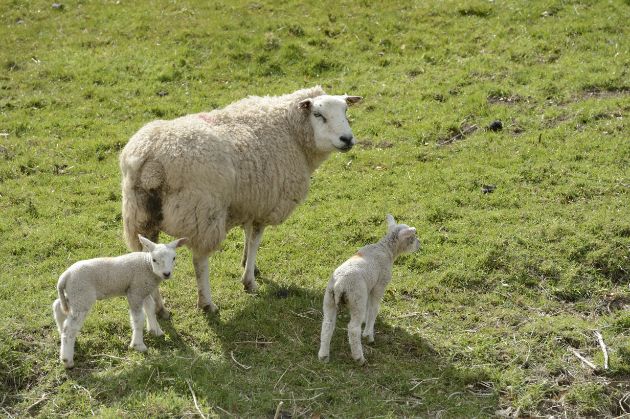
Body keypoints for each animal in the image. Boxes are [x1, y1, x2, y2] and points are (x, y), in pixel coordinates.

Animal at [52, 235, 186, 370]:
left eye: (174, 258)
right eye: (154, 260)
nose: (166, 274)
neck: (146, 265)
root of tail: (64, 276)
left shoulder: (144, 290)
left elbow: (150, 309)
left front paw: (155, 331)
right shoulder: (135, 292)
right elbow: (138, 319)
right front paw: (138, 345)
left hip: (72, 294)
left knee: (58, 307)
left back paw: (61, 334)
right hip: (81, 295)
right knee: (70, 328)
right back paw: (67, 360)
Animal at [120, 86, 362, 316]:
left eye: (346, 111)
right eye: (318, 114)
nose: (347, 139)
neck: (289, 130)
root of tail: (151, 163)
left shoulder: (250, 199)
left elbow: (247, 234)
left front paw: (247, 264)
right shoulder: (267, 202)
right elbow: (255, 239)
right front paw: (249, 281)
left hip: (140, 217)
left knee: (148, 258)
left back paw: (160, 309)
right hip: (202, 215)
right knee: (200, 261)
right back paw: (206, 304)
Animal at [320, 215, 420, 366]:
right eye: (412, 237)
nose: (419, 244)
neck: (386, 249)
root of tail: (339, 285)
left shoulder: (370, 287)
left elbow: (369, 308)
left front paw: (366, 325)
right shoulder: (379, 285)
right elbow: (373, 309)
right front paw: (368, 334)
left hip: (329, 298)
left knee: (327, 324)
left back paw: (323, 356)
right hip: (357, 298)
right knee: (353, 329)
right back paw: (359, 358)